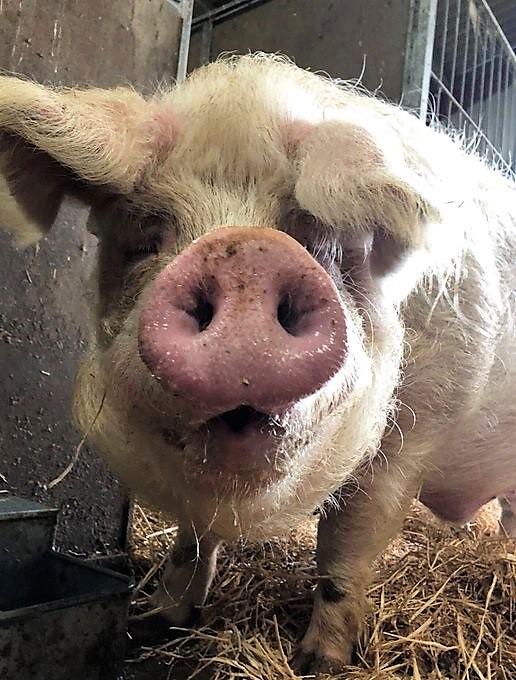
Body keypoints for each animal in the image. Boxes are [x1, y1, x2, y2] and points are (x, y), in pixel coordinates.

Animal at [0, 54, 515, 674]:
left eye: (319, 242)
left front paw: (320, 663)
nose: (245, 251)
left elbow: (343, 551)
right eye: (147, 236)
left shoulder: (410, 442)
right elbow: (193, 535)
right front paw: (157, 620)